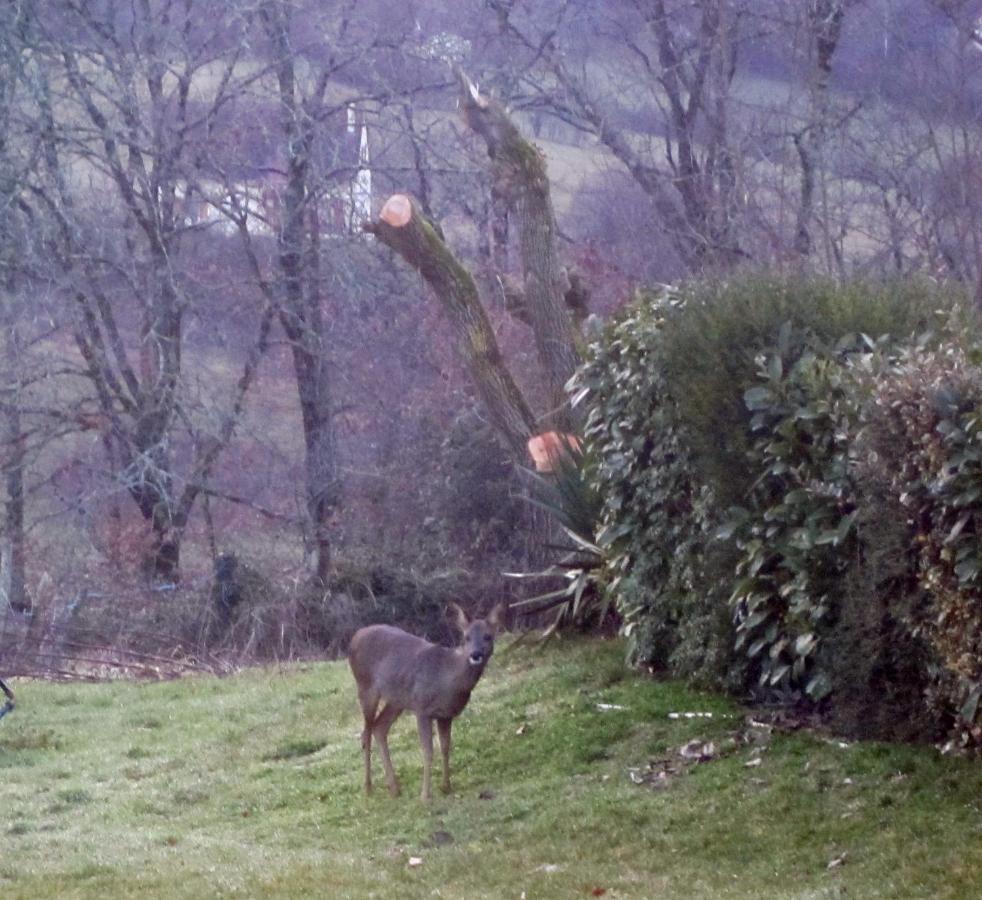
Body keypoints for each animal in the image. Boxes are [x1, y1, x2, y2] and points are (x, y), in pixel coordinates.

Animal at [348, 604, 504, 800]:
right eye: (466, 637)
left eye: (488, 636)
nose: (475, 654)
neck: (447, 679)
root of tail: (355, 636)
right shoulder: (422, 708)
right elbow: (428, 751)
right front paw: (425, 795)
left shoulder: (445, 715)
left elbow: (445, 747)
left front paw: (446, 787)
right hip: (366, 687)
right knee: (365, 734)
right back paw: (368, 788)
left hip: (398, 698)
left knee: (379, 728)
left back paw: (394, 788)